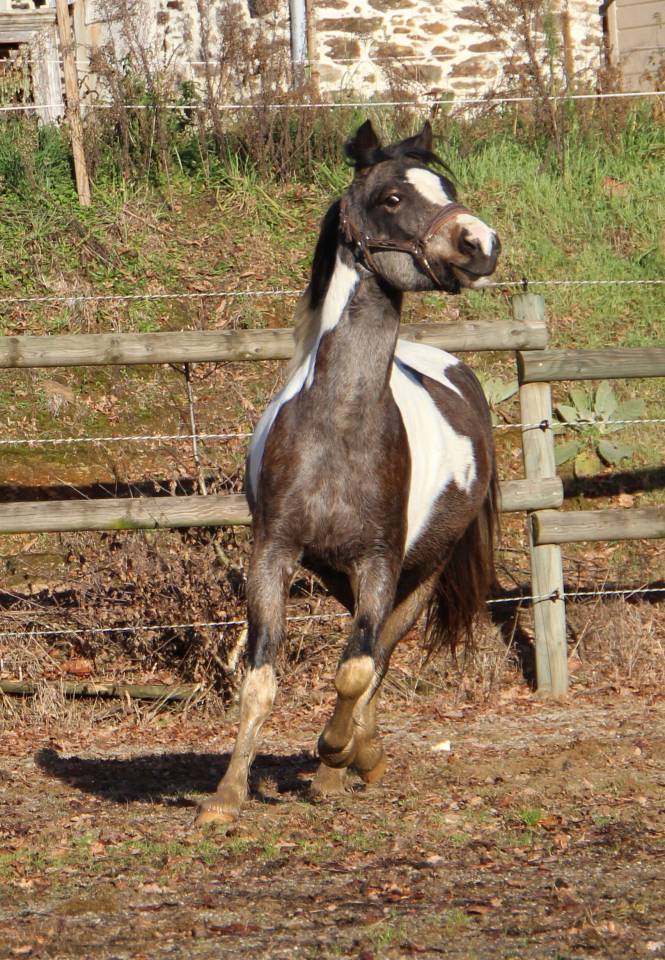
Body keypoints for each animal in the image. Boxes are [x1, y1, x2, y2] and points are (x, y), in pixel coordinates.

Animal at [196, 119, 501, 828]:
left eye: (447, 190)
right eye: (392, 197)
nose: (481, 243)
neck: (338, 427)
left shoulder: (379, 563)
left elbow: (356, 671)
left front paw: (337, 749)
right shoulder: (274, 554)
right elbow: (260, 679)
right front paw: (225, 798)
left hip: (418, 576)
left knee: (379, 654)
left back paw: (351, 759)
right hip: (338, 575)